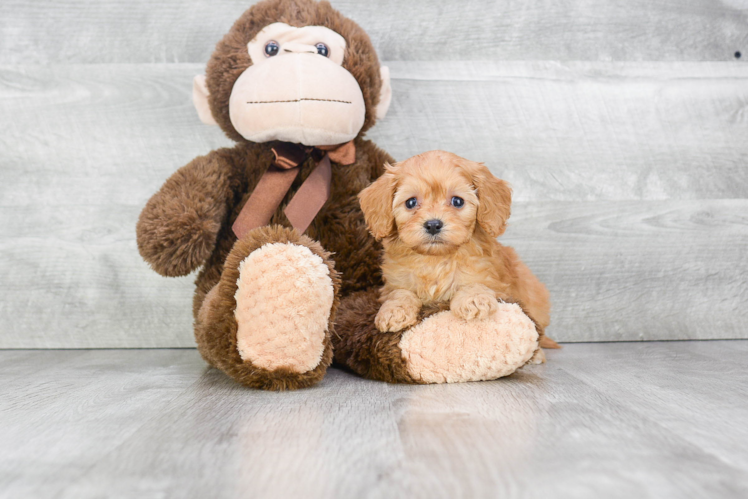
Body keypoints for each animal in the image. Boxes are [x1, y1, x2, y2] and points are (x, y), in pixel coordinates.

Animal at [360, 150, 560, 358]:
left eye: (457, 201)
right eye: (411, 202)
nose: (433, 224)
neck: (435, 259)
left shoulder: (492, 280)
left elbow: (475, 283)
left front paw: (474, 299)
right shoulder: (395, 282)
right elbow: (399, 293)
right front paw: (393, 311)